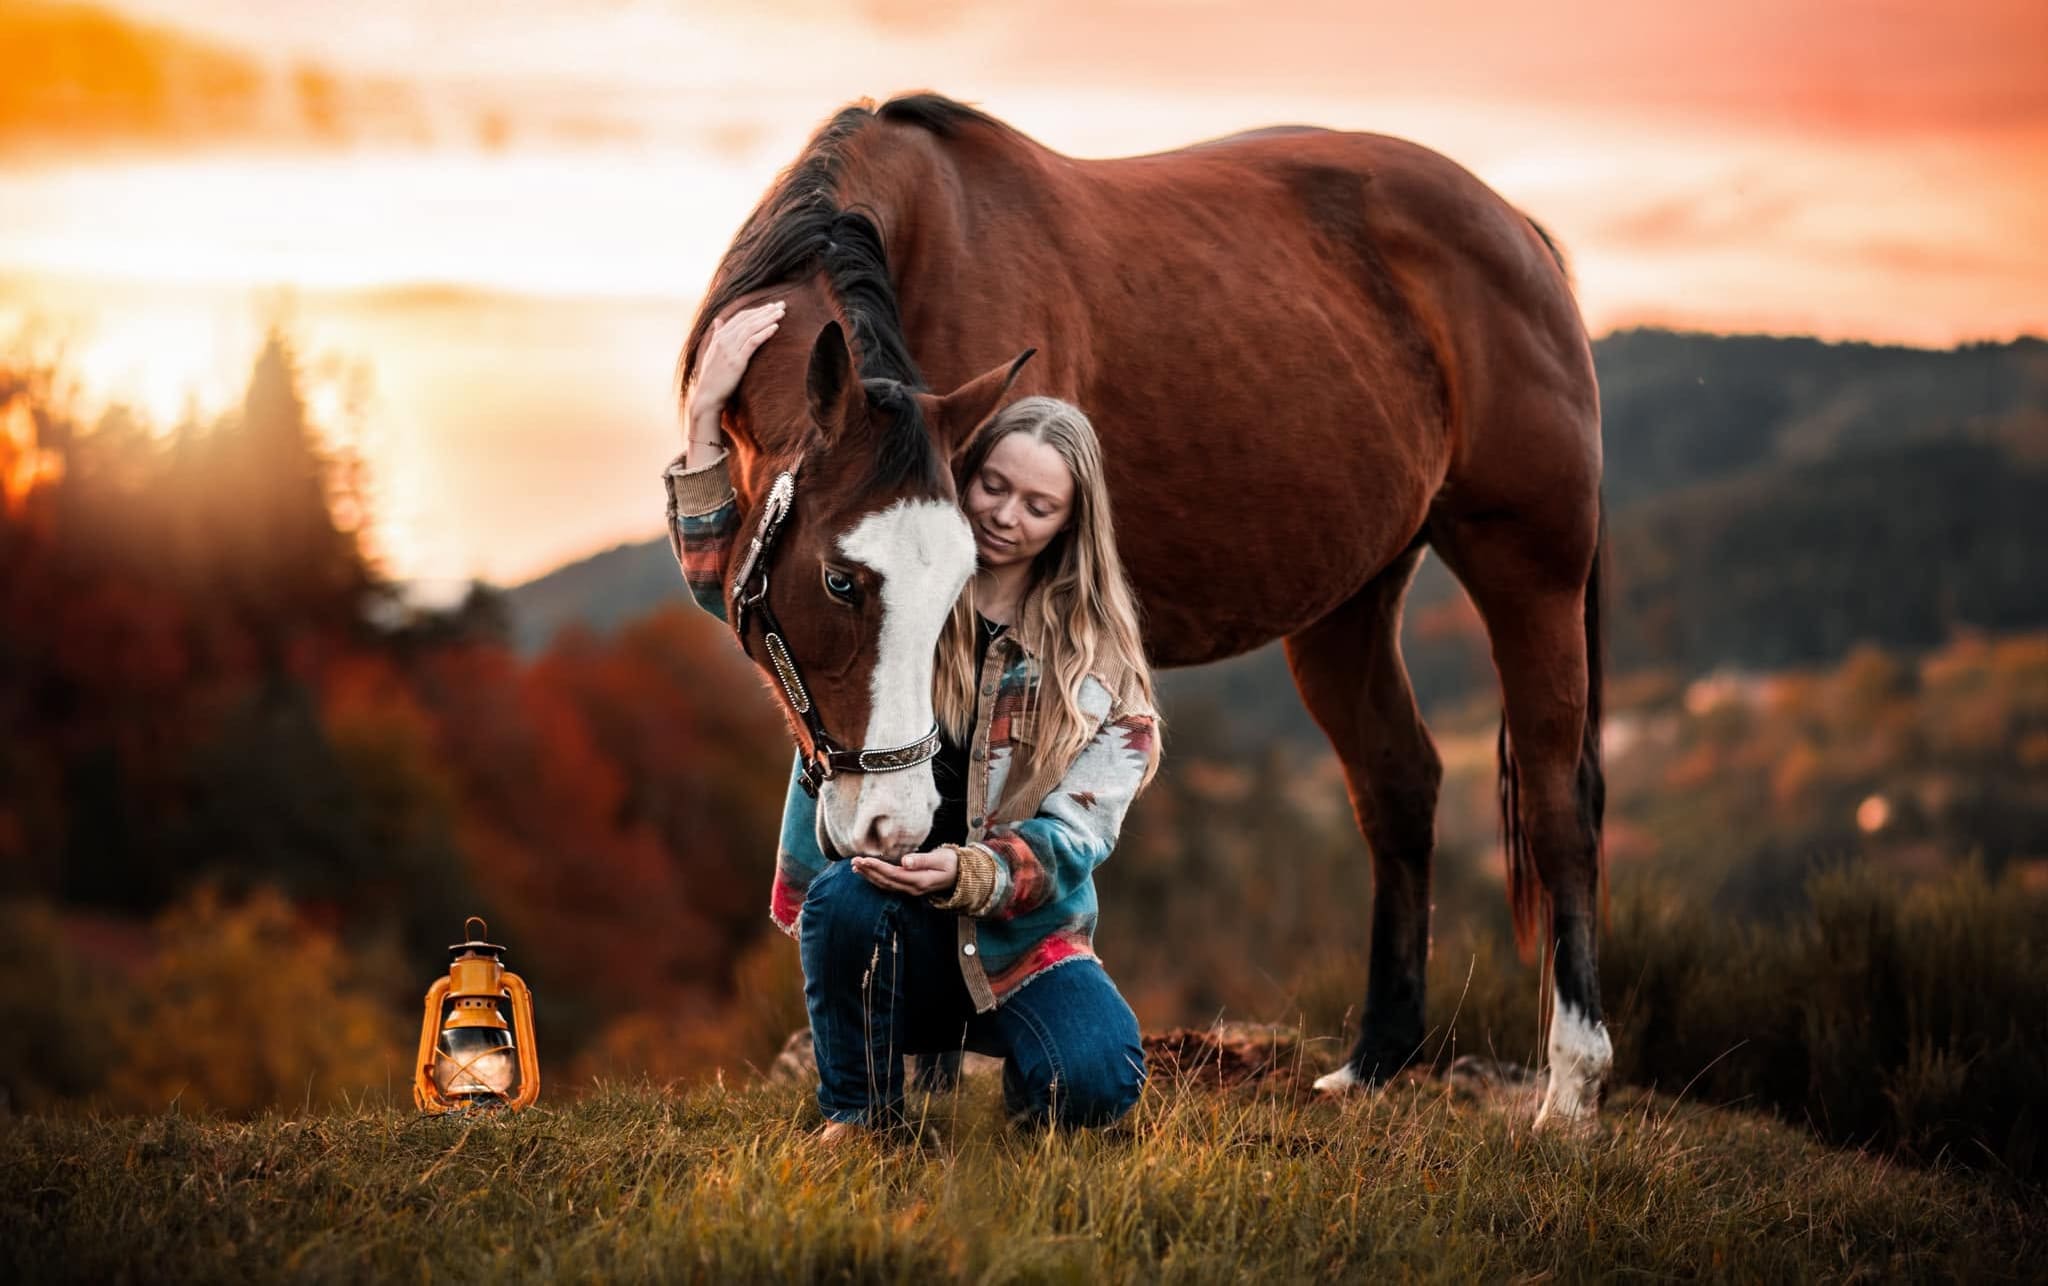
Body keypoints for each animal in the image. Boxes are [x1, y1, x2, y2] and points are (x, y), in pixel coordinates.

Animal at [678, 93, 1608, 1128]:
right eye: (842, 581)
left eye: (952, 584)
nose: (890, 821)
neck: (925, 253)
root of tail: (1514, 228)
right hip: (1350, 606)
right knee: (1399, 786)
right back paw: (1375, 1061)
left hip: (1531, 568)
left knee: (1558, 799)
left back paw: (1571, 1088)